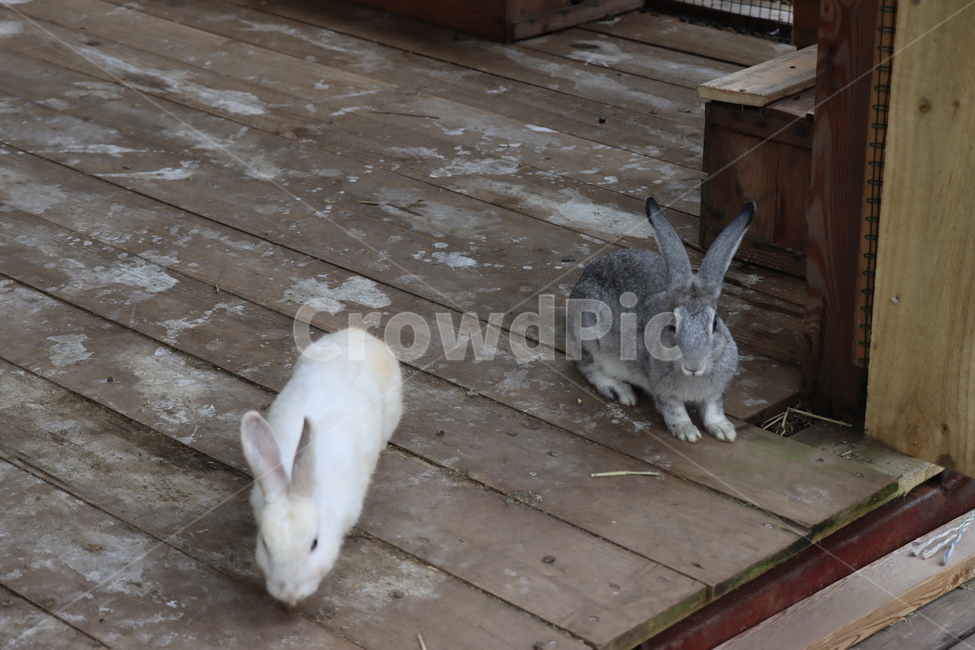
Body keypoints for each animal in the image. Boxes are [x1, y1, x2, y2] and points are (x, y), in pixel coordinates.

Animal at [567, 197, 754, 443]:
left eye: (715, 324)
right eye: (672, 326)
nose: (693, 366)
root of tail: (581, 280)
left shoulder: (714, 392)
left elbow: (713, 409)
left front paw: (724, 430)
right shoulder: (663, 391)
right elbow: (674, 409)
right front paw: (687, 432)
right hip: (588, 337)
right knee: (586, 366)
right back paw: (619, 390)